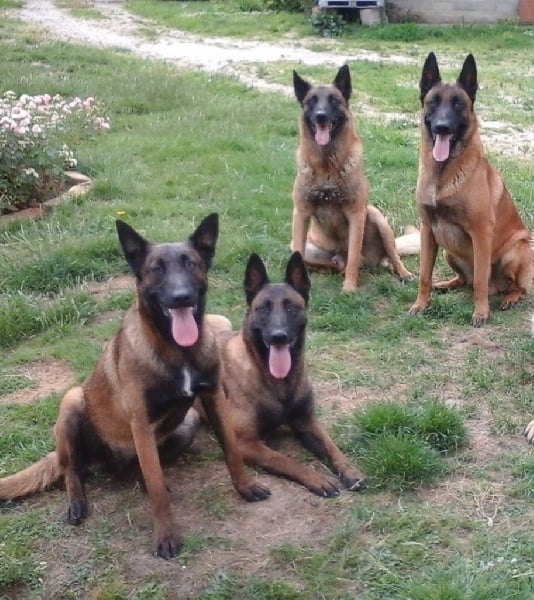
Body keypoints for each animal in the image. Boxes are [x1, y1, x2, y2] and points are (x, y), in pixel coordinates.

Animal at [0, 214, 270, 559]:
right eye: (156, 269)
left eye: (191, 263)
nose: (181, 297)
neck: (177, 349)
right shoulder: (141, 423)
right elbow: (157, 491)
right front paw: (165, 535)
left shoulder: (212, 400)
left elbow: (232, 451)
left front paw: (246, 487)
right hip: (72, 402)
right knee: (71, 469)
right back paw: (77, 500)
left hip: (188, 422)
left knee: (136, 469)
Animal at [213, 251, 366, 496]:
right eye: (263, 308)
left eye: (291, 308)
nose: (279, 337)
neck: (280, 382)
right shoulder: (244, 442)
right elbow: (284, 460)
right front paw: (317, 479)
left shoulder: (307, 422)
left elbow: (332, 447)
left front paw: (350, 471)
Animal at [291, 64, 413, 293]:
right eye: (312, 100)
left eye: (334, 100)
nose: (321, 116)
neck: (326, 166)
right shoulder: (301, 214)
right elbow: (297, 254)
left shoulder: (356, 215)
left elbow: (354, 258)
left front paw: (349, 288)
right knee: (332, 263)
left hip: (376, 217)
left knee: (390, 257)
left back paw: (403, 272)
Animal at [409, 53, 533, 327]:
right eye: (433, 102)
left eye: (458, 104)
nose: (442, 127)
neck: (443, 173)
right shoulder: (427, 231)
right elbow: (424, 275)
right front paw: (421, 304)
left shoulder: (480, 233)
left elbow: (479, 281)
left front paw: (481, 313)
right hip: (448, 252)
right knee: (463, 279)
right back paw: (445, 284)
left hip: (514, 251)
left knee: (516, 286)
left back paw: (509, 298)